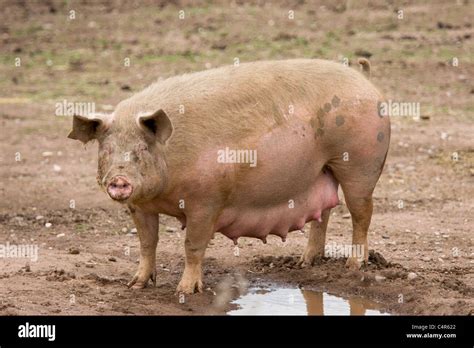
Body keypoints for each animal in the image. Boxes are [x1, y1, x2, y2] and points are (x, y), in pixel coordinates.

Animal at [68, 59, 390, 294]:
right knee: (324, 213)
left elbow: (192, 246)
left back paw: (354, 266)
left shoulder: (206, 201)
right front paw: (135, 285)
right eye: (107, 150)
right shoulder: (139, 206)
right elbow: (147, 243)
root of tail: (363, 77)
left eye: (141, 150)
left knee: (361, 212)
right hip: (322, 169)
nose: (118, 181)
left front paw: (185, 291)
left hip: (360, 164)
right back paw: (304, 263)